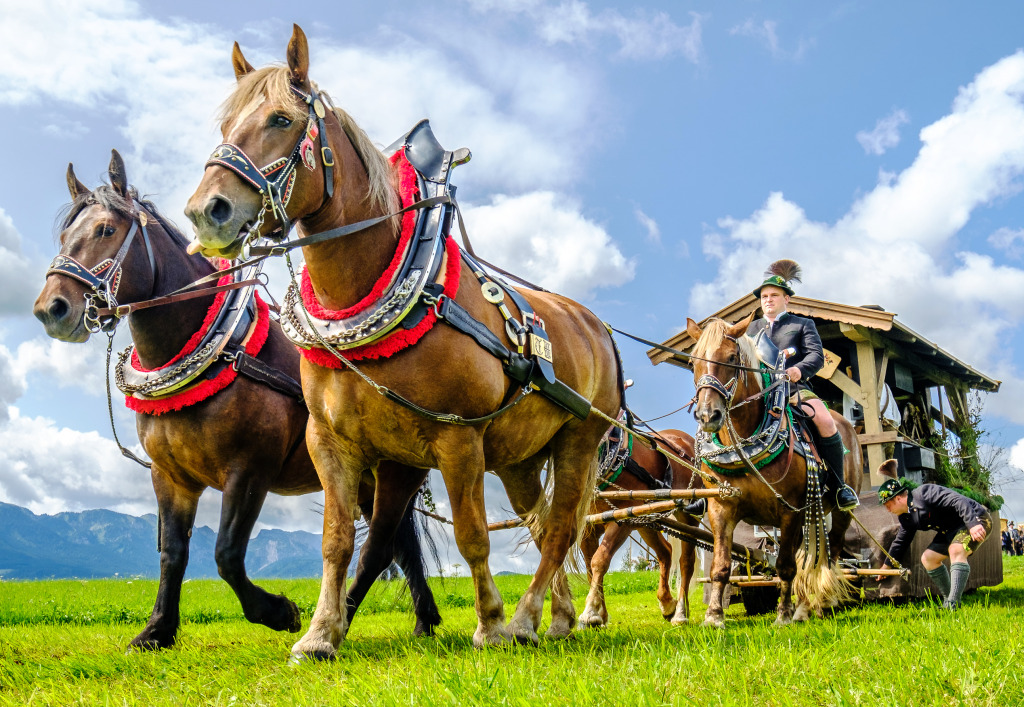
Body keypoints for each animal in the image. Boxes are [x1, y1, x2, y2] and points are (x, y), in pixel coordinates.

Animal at [30, 151, 440, 647]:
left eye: (106, 230)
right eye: (65, 235)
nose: (51, 309)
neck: (217, 348)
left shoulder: (249, 469)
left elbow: (226, 554)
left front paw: (279, 611)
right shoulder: (170, 476)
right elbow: (173, 553)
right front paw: (158, 630)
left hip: (386, 471)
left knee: (385, 546)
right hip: (363, 481)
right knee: (401, 545)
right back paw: (421, 621)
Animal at [180, 26, 618, 655]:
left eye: (282, 120)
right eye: (225, 126)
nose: (205, 212)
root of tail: (597, 326)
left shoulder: (458, 438)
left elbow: (472, 535)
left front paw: (489, 622)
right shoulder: (332, 442)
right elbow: (339, 541)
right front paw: (320, 633)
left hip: (579, 440)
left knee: (558, 529)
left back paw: (524, 617)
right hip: (518, 456)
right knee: (537, 523)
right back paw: (552, 618)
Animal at [581, 426, 700, 627]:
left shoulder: (623, 520)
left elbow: (599, 561)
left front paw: (590, 612)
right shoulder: (587, 527)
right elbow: (590, 568)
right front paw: (601, 614)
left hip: (689, 515)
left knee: (686, 562)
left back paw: (681, 612)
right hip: (646, 519)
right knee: (665, 552)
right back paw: (667, 604)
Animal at [684, 313, 860, 622]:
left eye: (732, 358)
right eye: (693, 361)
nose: (708, 415)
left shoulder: (790, 510)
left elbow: (786, 566)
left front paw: (783, 614)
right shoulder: (721, 507)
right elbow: (721, 565)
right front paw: (714, 615)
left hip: (839, 513)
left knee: (831, 554)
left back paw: (821, 604)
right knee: (811, 557)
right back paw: (804, 607)